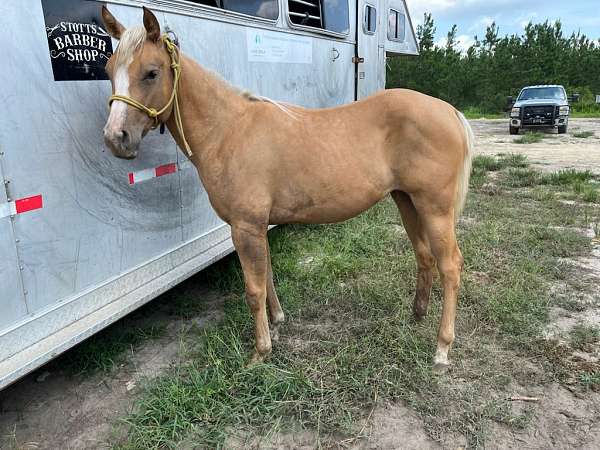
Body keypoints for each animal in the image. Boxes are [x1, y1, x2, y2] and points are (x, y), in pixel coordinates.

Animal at [99, 7, 474, 372]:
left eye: (151, 72)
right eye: (108, 69)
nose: (116, 138)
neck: (229, 130)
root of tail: (448, 111)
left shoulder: (245, 227)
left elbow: (253, 289)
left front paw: (260, 352)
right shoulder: (256, 226)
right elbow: (266, 279)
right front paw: (277, 324)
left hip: (435, 209)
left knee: (450, 266)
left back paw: (441, 350)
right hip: (407, 201)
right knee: (425, 257)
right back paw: (416, 316)